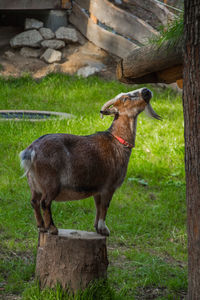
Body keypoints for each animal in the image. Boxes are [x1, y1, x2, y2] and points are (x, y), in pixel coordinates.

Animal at [19, 88, 161, 236]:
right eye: (126, 98)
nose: (146, 90)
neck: (116, 140)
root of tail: (31, 151)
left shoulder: (98, 188)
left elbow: (98, 206)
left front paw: (97, 228)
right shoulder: (109, 186)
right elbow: (105, 206)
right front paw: (104, 229)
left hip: (34, 184)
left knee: (34, 202)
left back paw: (41, 227)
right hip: (50, 183)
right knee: (45, 203)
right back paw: (52, 229)